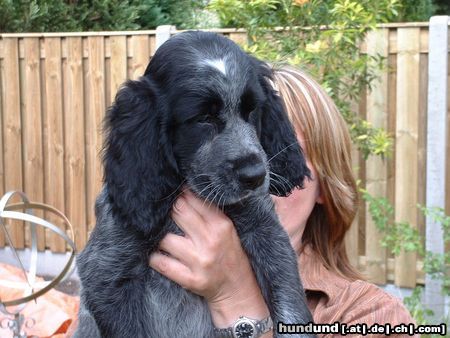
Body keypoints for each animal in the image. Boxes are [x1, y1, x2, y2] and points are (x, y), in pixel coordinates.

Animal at [74, 30, 312, 336]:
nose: (255, 175)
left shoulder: (267, 231)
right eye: (202, 118)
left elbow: (290, 305)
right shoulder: (106, 272)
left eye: (252, 110)